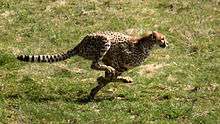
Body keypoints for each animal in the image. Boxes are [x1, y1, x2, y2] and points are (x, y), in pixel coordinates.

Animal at [17, 31, 168, 100]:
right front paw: (100, 82)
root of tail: (79, 44)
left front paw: (95, 89)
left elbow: (109, 78)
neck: (146, 45)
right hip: (104, 41)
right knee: (94, 64)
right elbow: (110, 75)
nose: (167, 43)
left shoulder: (117, 64)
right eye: (162, 38)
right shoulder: (116, 58)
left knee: (98, 65)